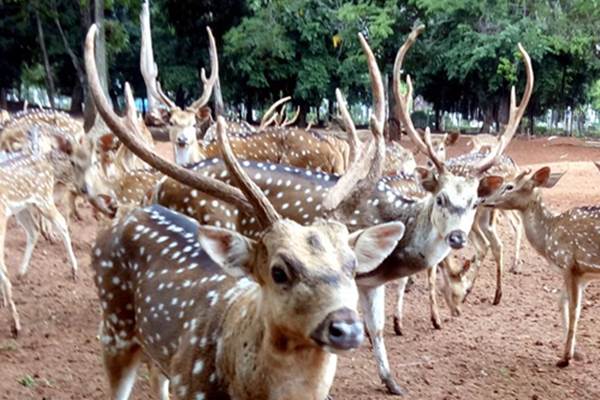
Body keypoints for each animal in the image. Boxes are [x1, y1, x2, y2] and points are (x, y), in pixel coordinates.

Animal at [0, 128, 79, 338]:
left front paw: (15, 325)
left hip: (43, 198)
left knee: (60, 223)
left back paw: (74, 271)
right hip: (22, 207)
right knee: (34, 230)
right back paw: (21, 273)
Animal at [86, 23, 406, 398]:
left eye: (353, 266)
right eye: (279, 271)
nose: (346, 327)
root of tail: (124, 217)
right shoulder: (189, 384)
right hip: (115, 328)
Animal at [482, 166, 600, 368]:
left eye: (509, 186)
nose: (484, 200)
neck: (547, 238)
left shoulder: (570, 264)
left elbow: (574, 310)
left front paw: (565, 358)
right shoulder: (583, 275)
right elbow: (561, 302)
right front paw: (576, 353)